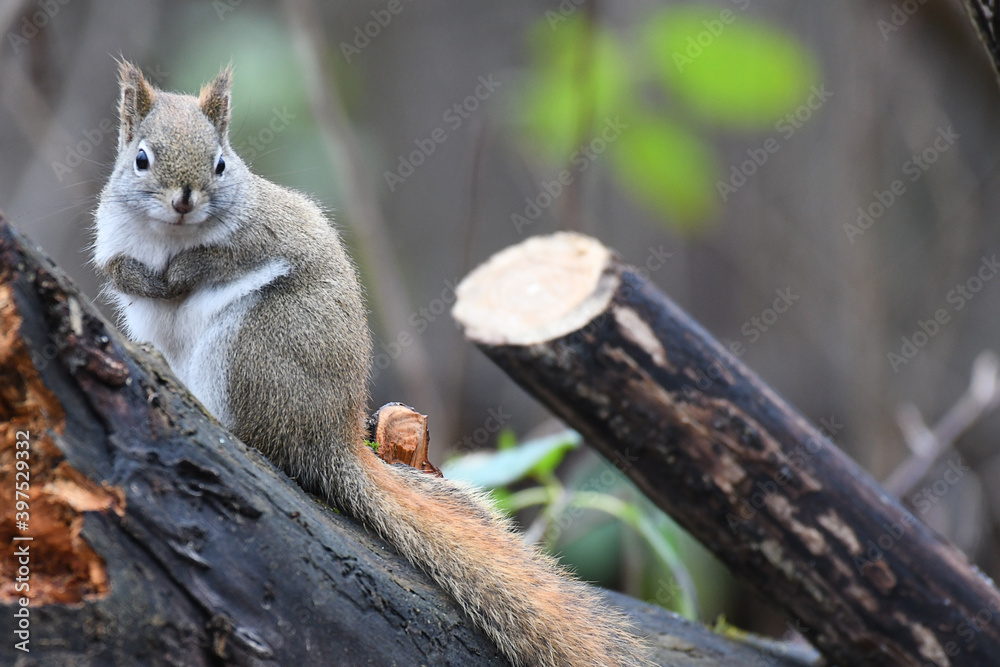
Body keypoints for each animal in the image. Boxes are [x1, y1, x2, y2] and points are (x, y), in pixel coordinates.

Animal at [92, 60, 647, 667]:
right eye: (140, 159)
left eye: (220, 163)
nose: (185, 199)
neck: (168, 235)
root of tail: (330, 435)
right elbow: (120, 271)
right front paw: (137, 277)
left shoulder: (262, 232)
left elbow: (213, 259)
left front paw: (175, 274)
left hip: (252, 348)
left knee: (260, 437)